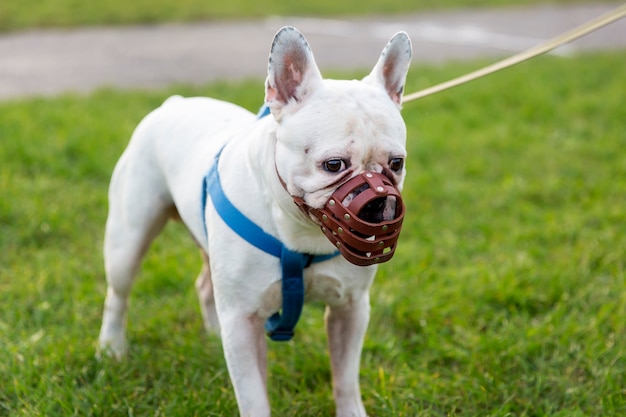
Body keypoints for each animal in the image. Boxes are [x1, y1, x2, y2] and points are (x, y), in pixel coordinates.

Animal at [98, 26, 410, 416]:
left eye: (396, 163)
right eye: (333, 165)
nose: (378, 201)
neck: (300, 232)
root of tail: (174, 102)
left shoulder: (350, 309)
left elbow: (346, 378)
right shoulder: (243, 320)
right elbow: (253, 396)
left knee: (204, 285)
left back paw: (212, 336)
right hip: (128, 240)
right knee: (118, 295)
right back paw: (111, 348)